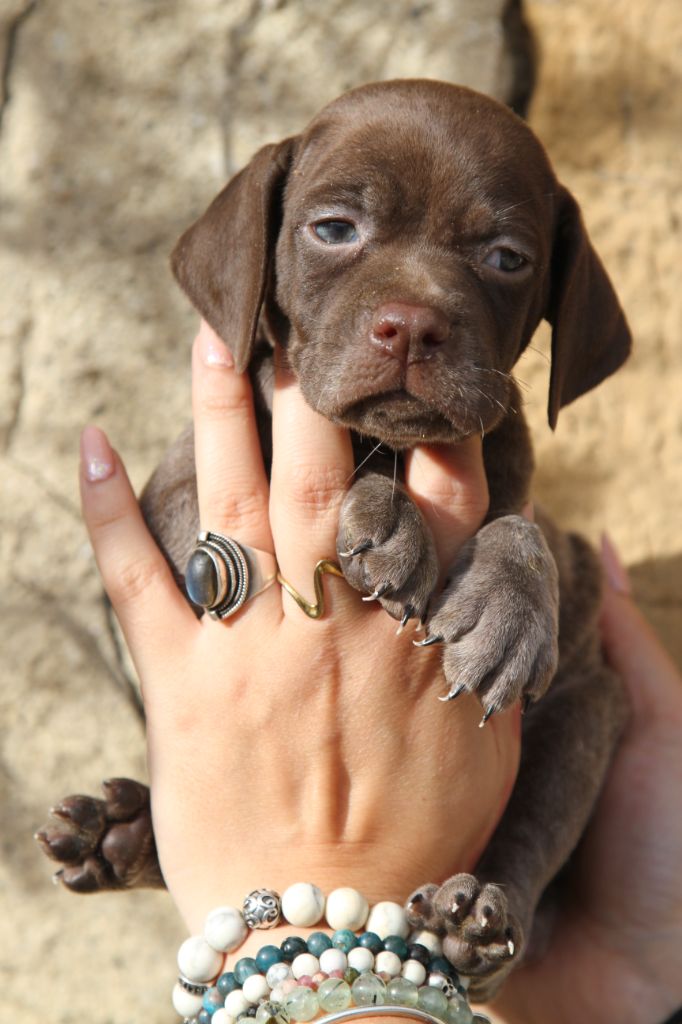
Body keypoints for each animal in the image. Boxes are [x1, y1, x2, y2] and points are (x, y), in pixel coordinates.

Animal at [39, 79, 630, 999]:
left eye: (507, 257)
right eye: (333, 229)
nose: (413, 326)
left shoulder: (526, 491)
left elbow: (522, 530)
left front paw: (505, 608)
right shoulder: (176, 493)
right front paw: (385, 514)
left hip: (586, 718)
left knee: (526, 846)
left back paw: (471, 921)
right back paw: (119, 835)